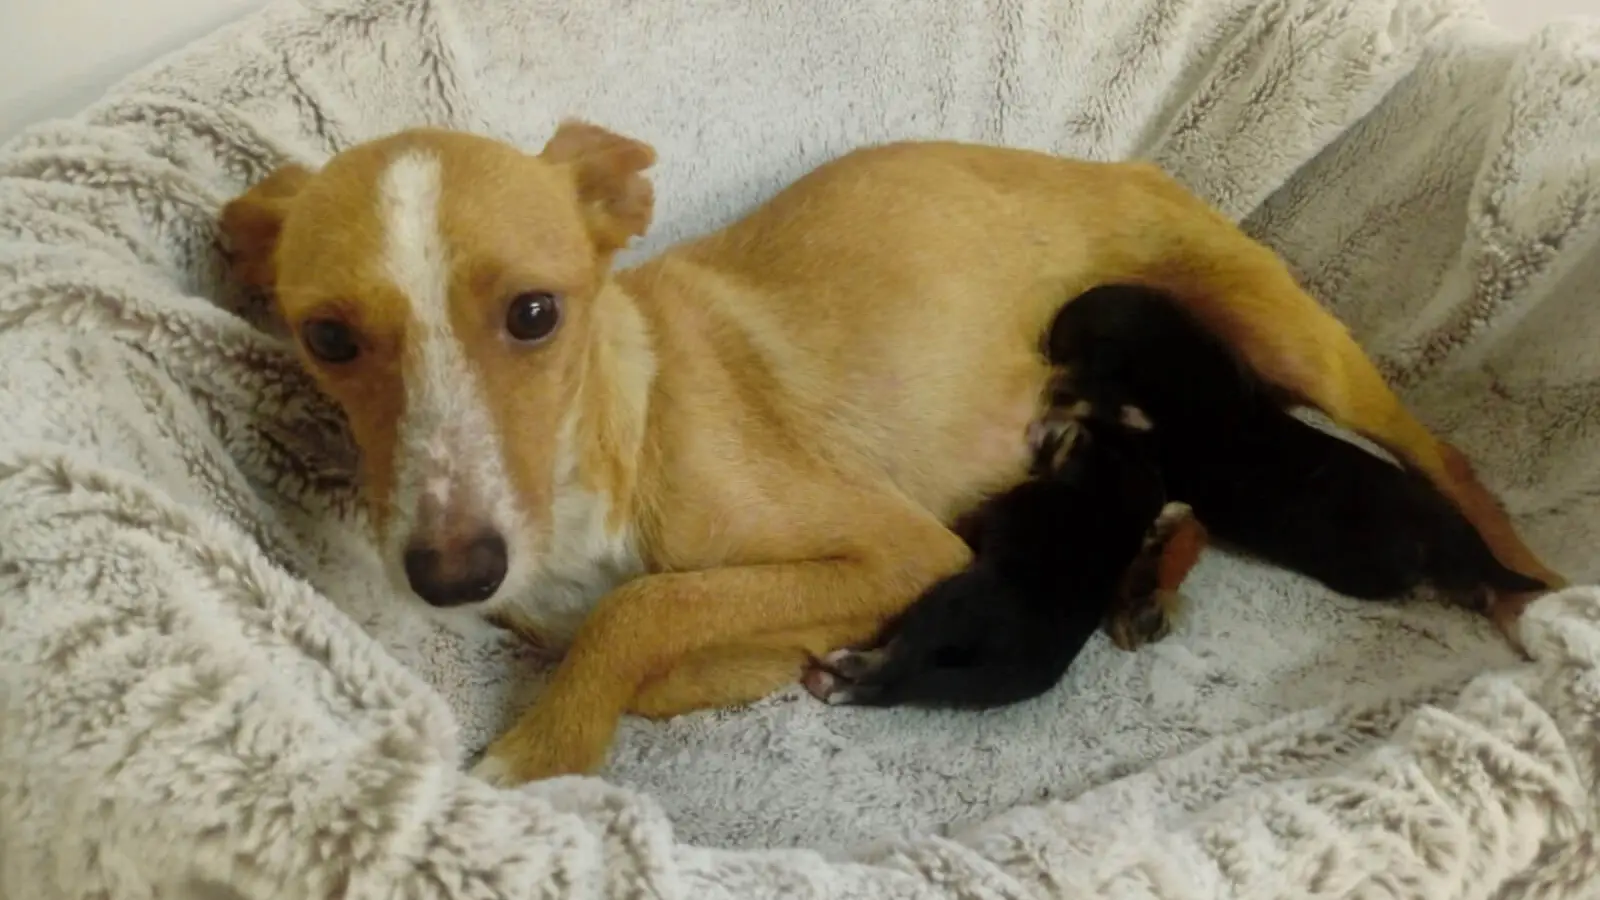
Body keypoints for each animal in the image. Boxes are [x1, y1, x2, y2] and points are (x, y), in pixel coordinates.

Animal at [806, 398, 1171, 707]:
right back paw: (832, 686)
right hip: (966, 682)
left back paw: (845, 667)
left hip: (946, 604)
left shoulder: (988, 514)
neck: (1108, 496)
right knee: (894, 688)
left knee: (897, 660)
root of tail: (1012, 662)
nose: (1041, 414)